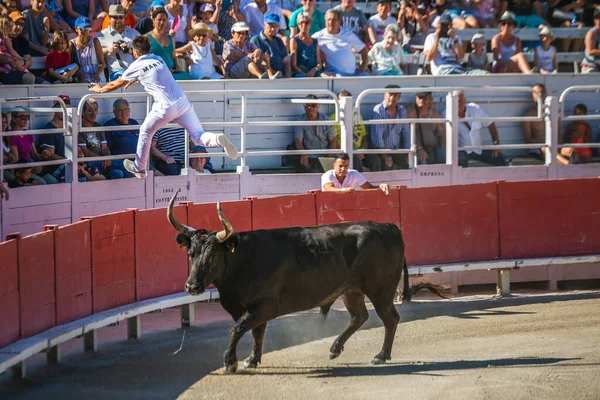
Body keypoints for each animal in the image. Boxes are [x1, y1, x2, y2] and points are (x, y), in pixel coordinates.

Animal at [166, 192, 442, 374]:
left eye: (212, 256)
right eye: (190, 254)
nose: (191, 287)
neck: (243, 260)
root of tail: (389, 227)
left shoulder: (264, 306)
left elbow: (238, 329)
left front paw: (230, 362)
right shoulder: (253, 309)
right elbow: (255, 332)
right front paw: (251, 360)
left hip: (380, 290)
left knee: (390, 318)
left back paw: (380, 356)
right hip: (351, 289)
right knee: (359, 316)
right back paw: (335, 348)